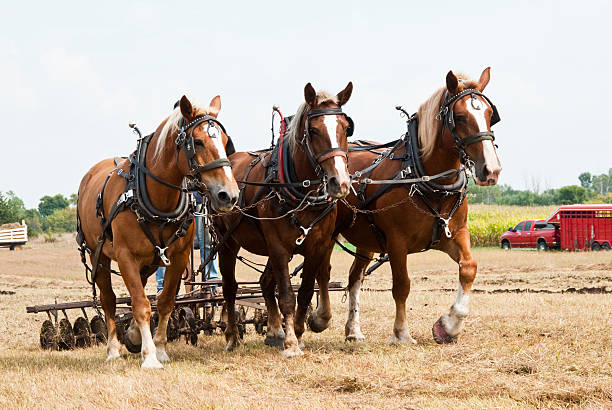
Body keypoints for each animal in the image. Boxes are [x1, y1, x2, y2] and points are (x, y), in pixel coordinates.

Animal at [218, 82, 354, 356]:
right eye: (313, 130)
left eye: (346, 127)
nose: (340, 183)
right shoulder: (279, 247)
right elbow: (288, 296)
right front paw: (291, 343)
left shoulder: (317, 246)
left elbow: (305, 291)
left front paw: (297, 333)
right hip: (227, 242)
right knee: (230, 288)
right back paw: (232, 337)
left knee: (265, 283)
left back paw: (274, 331)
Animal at [296, 68, 502, 346]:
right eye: (459, 117)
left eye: (491, 115)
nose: (491, 170)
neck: (425, 178)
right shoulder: (397, 242)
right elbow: (402, 285)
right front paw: (401, 333)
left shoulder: (455, 234)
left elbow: (469, 268)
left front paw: (448, 326)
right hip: (327, 232)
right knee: (324, 272)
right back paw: (320, 318)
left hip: (366, 239)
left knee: (354, 278)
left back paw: (353, 330)